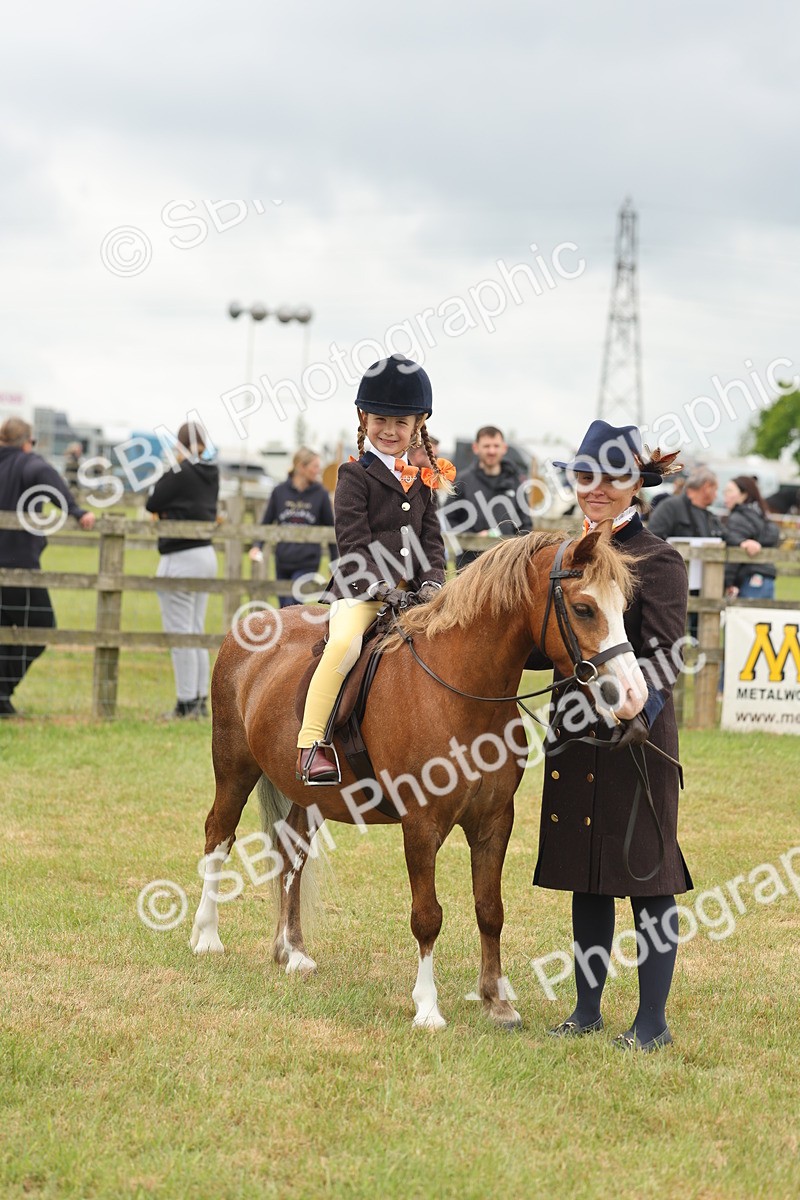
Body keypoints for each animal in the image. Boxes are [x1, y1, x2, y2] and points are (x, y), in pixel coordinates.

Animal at [190, 530, 647, 1029]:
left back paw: (292, 952)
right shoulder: (421, 825)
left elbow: (490, 910)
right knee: (218, 835)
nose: (633, 696)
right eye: (584, 608)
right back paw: (206, 937)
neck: (461, 691)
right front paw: (427, 1008)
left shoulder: (494, 821)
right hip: (233, 768)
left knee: (293, 852)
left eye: (624, 606)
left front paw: (497, 1002)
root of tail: (251, 625)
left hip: (312, 798)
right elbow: (427, 916)